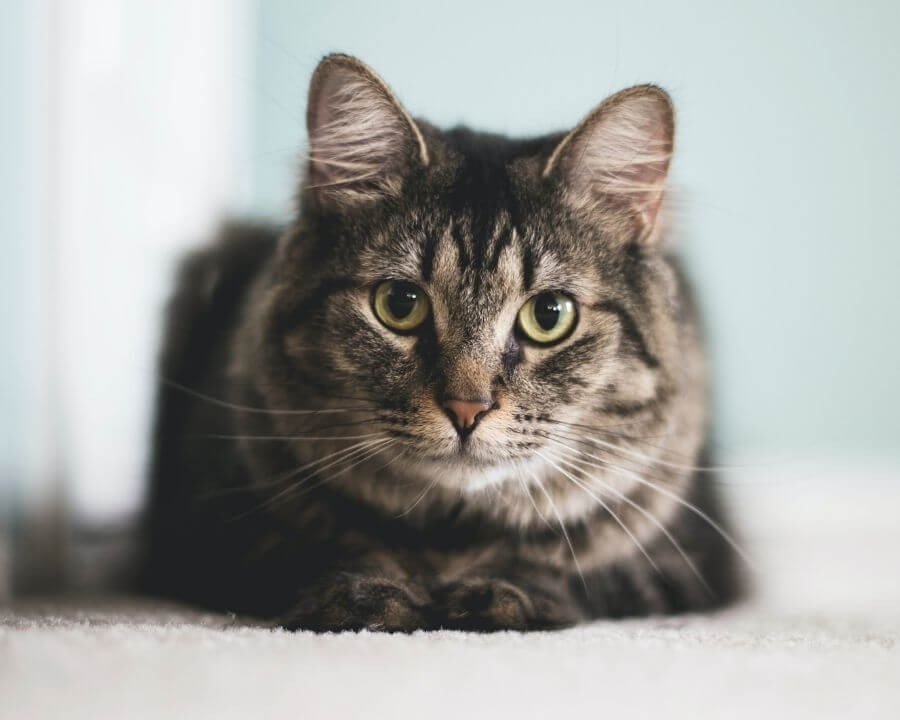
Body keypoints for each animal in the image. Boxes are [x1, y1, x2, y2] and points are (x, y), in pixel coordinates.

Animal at [144, 54, 740, 632]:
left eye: (549, 315)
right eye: (399, 303)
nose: (466, 408)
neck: (451, 539)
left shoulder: (683, 558)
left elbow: (555, 568)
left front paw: (494, 596)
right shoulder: (208, 530)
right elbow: (335, 550)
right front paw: (369, 598)